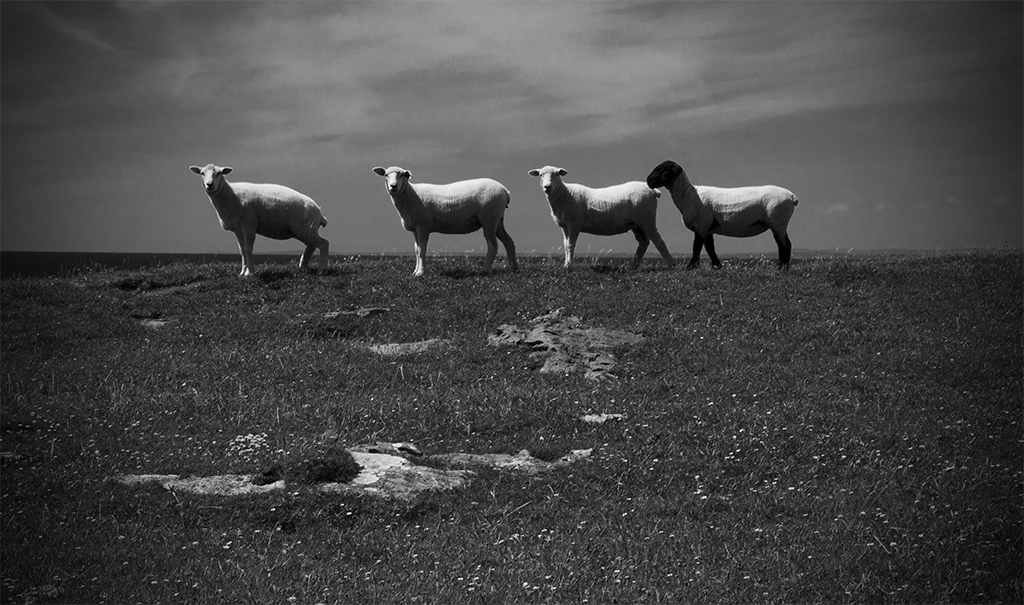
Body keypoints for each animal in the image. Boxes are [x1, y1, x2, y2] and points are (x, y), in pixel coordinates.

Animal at [189, 164, 329, 277]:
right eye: (202, 173)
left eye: (219, 173)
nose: (209, 184)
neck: (230, 194)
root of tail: (319, 211)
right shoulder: (238, 229)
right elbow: (242, 251)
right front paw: (242, 273)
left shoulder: (249, 226)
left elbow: (248, 249)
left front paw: (249, 273)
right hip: (304, 229)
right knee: (311, 245)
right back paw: (303, 266)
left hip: (305, 227)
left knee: (323, 244)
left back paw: (321, 270)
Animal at [372, 165, 518, 277]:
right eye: (386, 175)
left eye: (402, 175)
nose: (393, 186)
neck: (411, 195)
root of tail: (505, 191)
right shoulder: (415, 228)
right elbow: (416, 250)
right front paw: (415, 271)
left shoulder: (423, 226)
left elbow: (422, 250)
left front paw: (421, 273)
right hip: (498, 219)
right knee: (508, 241)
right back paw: (513, 268)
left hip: (489, 217)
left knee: (493, 245)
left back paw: (485, 270)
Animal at [527, 166, 674, 269]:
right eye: (540, 175)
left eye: (557, 174)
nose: (547, 187)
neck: (565, 194)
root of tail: (652, 190)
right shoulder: (565, 226)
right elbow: (565, 245)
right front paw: (565, 264)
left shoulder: (574, 224)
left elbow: (570, 245)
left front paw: (568, 266)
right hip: (637, 223)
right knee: (643, 243)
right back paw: (633, 266)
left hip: (646, 218)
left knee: (659, 242)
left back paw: (671, 265)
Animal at [645, 160, 799, 270]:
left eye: (664, 169)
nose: (648, 180)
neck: (688, 194)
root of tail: (792, 196)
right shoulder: (707, 229)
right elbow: (710, 248)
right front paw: (717, 266)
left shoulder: (700, 225)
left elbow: (696, 247)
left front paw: (691, 267)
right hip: (778, 223)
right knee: (785, 244)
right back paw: (783, 268)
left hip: (777, 221)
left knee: (784, 245)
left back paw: (781, 268)